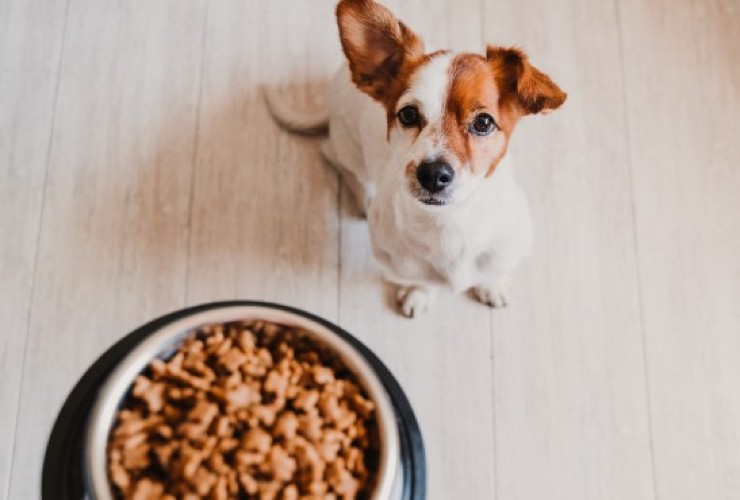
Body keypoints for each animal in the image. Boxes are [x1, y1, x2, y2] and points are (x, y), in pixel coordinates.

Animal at [266, 0, 568, 318]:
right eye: (408, 114)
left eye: (484, 122)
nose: (433, 174)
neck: (449, 223)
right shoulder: (399, 264)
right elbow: (419, 280)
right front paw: (419, 292)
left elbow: (492, 271)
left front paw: (491, 284)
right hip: (347, 149)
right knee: (335, 157)